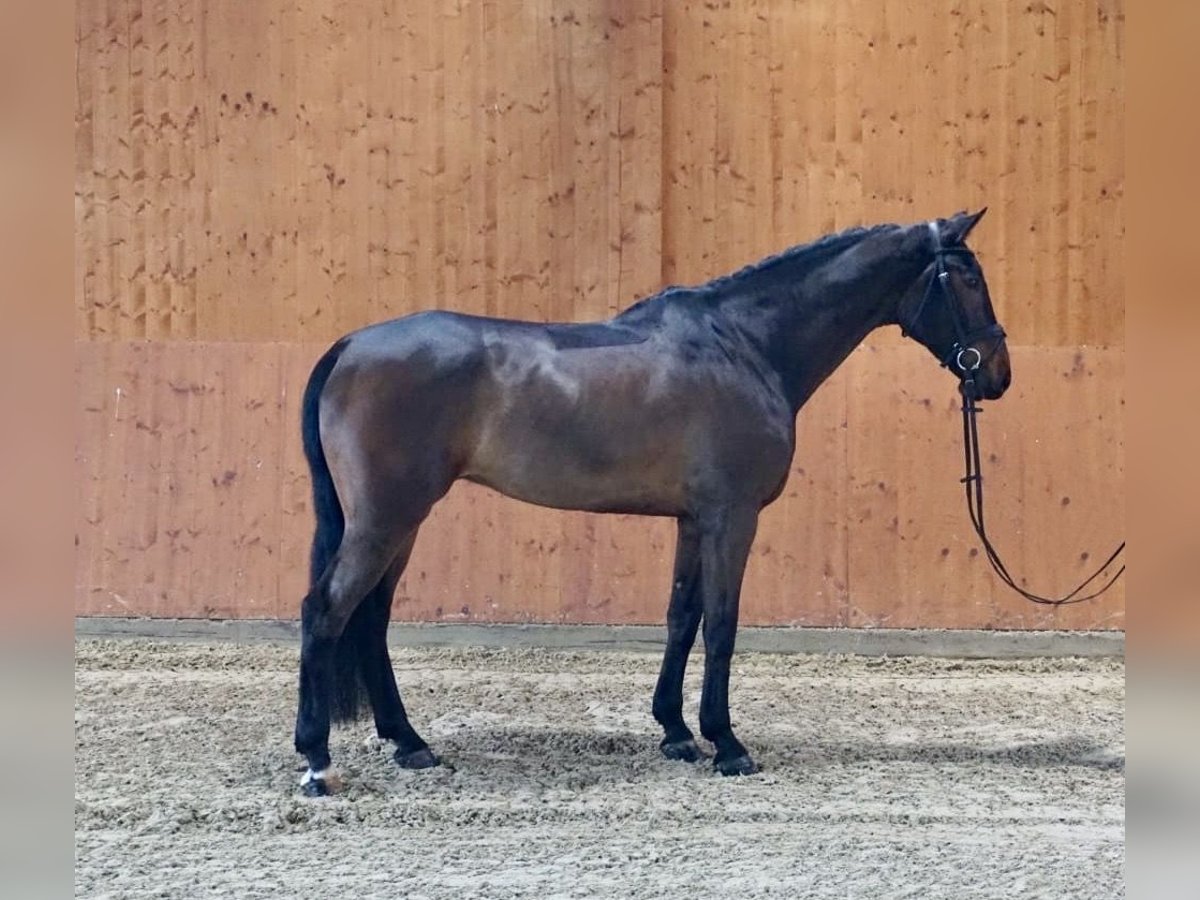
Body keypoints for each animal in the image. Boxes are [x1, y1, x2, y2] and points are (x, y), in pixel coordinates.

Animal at [295, 210, 1008, 796]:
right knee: (326, 610)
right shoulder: (732, 518)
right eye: (969, 278)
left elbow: (681, 617)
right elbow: (721, 625)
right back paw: (317, 762)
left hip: (400, 521)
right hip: (386, 518)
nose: (997, 374)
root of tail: (349, 347)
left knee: (372, 618)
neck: (744, 345)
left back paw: (410, 744)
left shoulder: (695, 520)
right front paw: (727, 744)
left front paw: (676, 732)